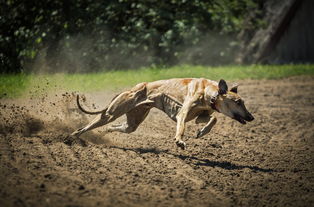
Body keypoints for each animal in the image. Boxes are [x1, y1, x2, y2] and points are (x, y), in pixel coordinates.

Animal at [70, 78, 253, 149]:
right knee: (85, 127)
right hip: (111, 113)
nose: (251, 117)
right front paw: (179, 141)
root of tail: (132, 88)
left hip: (132, 122)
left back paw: (104, 132)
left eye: (243, 101)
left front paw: (202, 132)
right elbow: (181, 127)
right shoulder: (182, 115)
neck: (210, 92)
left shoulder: (200, 116)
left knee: (120, 127)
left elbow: (213, 118)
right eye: (238, 102)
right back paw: (71, 137)